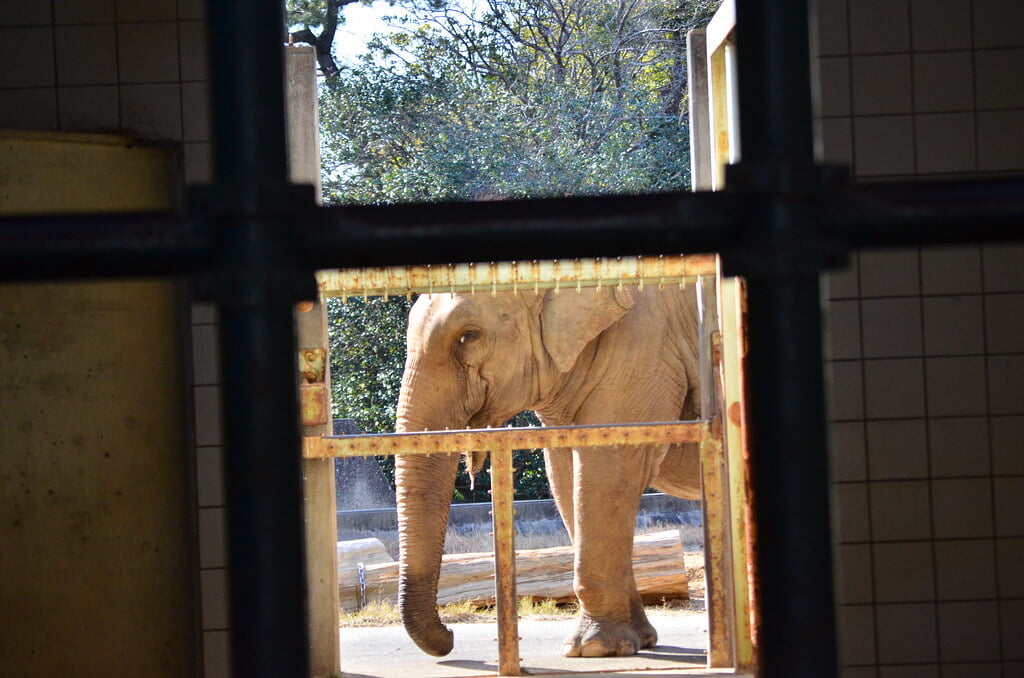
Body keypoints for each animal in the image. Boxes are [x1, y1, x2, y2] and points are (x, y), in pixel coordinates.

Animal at [393, 280, 704, 659]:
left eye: (469, 336)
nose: (451, 635)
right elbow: (565, 474)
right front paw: (632, 644)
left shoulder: (644, 349)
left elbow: (607, 464)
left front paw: (592, 649)